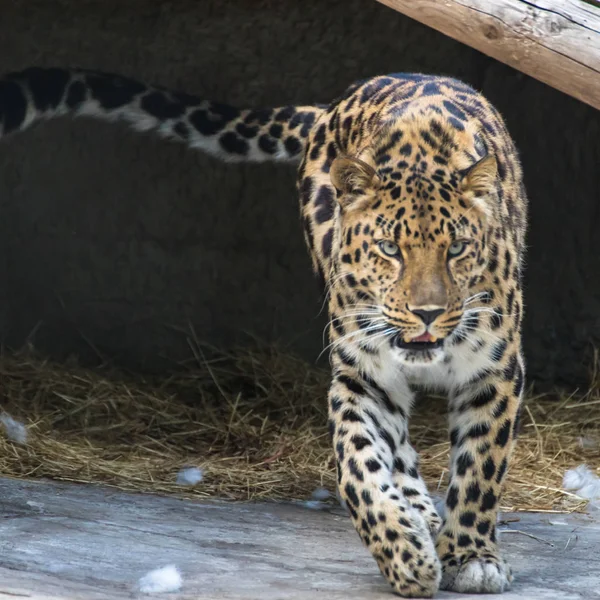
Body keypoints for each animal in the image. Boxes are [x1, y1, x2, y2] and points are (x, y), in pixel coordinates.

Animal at [0, 68, 524, 596]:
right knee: (395, 450)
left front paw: (471, 557)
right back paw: (416, 514)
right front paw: (403, 553)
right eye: (389, 248)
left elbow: (481, 469)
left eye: (457, 247)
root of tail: (335, 105)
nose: (428, 313)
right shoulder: (362, 376)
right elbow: (358, 466)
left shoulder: (494, 371)